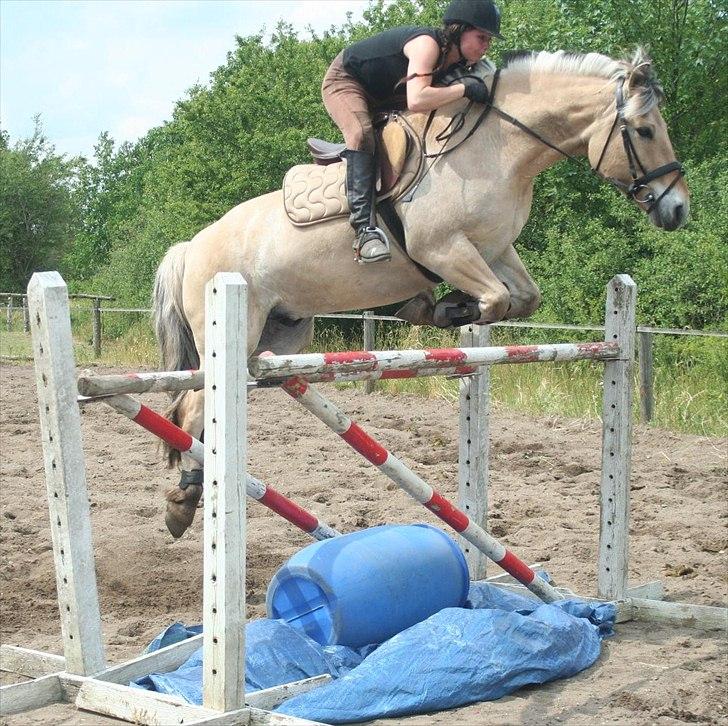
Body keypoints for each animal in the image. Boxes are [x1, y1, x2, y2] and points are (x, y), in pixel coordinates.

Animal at [152, 48, 688, 536]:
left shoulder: (495, 250)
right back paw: (184, 502)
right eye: (644, 131)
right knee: (193, 409)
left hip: (279, 334)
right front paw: (447, 308)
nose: (678, 210)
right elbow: (496, 299)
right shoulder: (444, 248)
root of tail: (193, 245)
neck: (498, 150)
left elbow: (521, 298)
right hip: (230, 327)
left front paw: (446, 309)